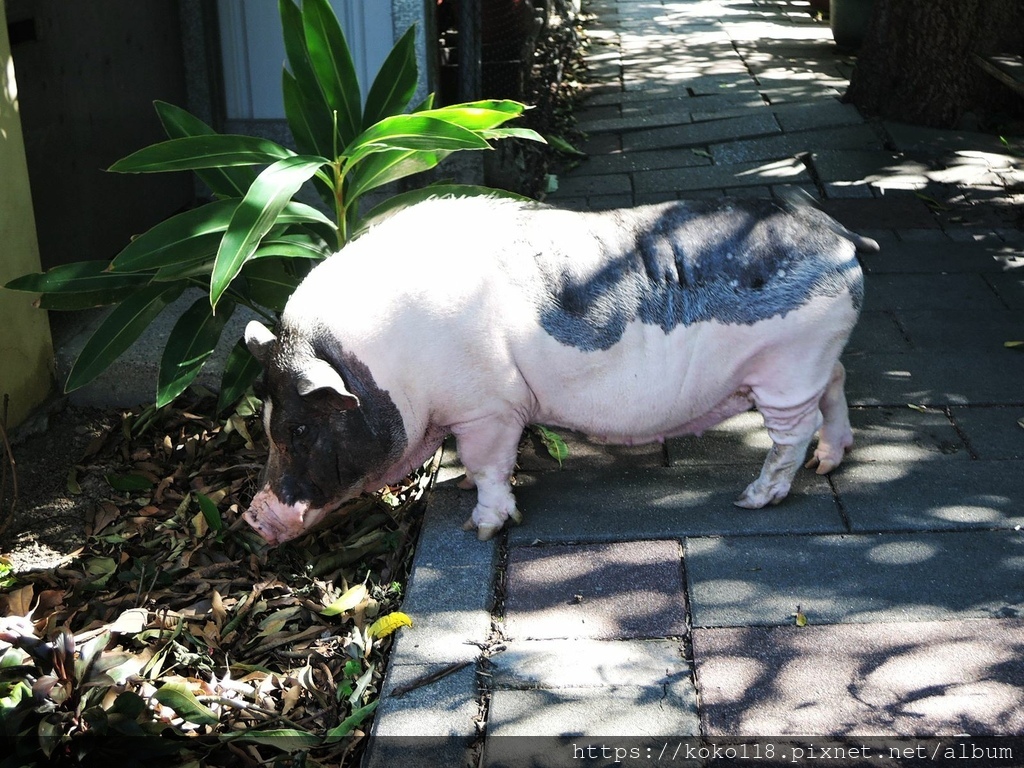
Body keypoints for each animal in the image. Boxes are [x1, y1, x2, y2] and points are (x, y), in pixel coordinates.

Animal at [239, 198, 872, 548]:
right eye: (265, 422)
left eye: (300, 428)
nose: (252, 518)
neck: (391, 370)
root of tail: (838, 234)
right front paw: (460, 489)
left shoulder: (489, 407)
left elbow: (488, 465)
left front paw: (480, 528)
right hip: (813, 361)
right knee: (839, 382)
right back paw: (828, 462)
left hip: (787, 368)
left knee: (791, 434)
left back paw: (752, 499)